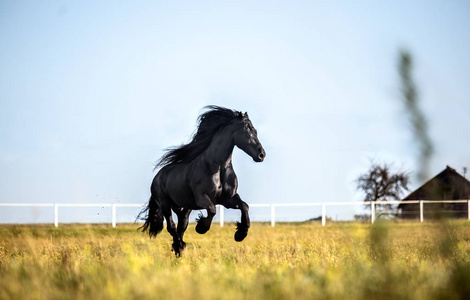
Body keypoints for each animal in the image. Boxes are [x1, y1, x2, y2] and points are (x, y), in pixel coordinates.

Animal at [139, 105, 264, 255]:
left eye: (255, 131)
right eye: (247, 131)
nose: (261, 155)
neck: (218, 167)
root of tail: (157, 176)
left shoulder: (227, 199)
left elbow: (244, 206)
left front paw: (240, 234)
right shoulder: (202, 198)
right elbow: (212, 210)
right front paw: (201, 227)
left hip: (183, 208)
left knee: (181, 227)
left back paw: (179, 248)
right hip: (165, 204)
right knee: (171, 226)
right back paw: (179, 247)